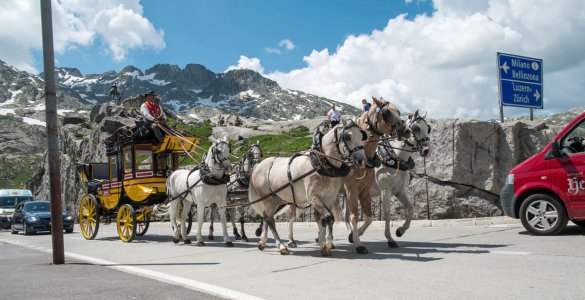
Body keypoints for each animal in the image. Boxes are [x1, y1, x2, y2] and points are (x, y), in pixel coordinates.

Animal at [246, 119, 364, 255]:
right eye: (348, 136)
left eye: (362, 135)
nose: (361, 160)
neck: (322, 164)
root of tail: (258, 166)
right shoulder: (314, 198)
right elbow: (329, 217)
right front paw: (327, 245)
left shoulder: (329, 199)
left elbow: (324, 220)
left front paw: (323, 244)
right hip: (268, 199)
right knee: (270, 220)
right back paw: (281, 246)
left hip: (277, 199)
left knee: (266, 216)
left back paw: (262, 242)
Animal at [372, 110, 432, 248]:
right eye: (416, 128)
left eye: (428, 128)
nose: (427, 150)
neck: (395, 157)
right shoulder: (385, 190)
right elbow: (387, 214)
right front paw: (390, 239)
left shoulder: (399, 190)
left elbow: (411, 209)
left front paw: (400, 230)